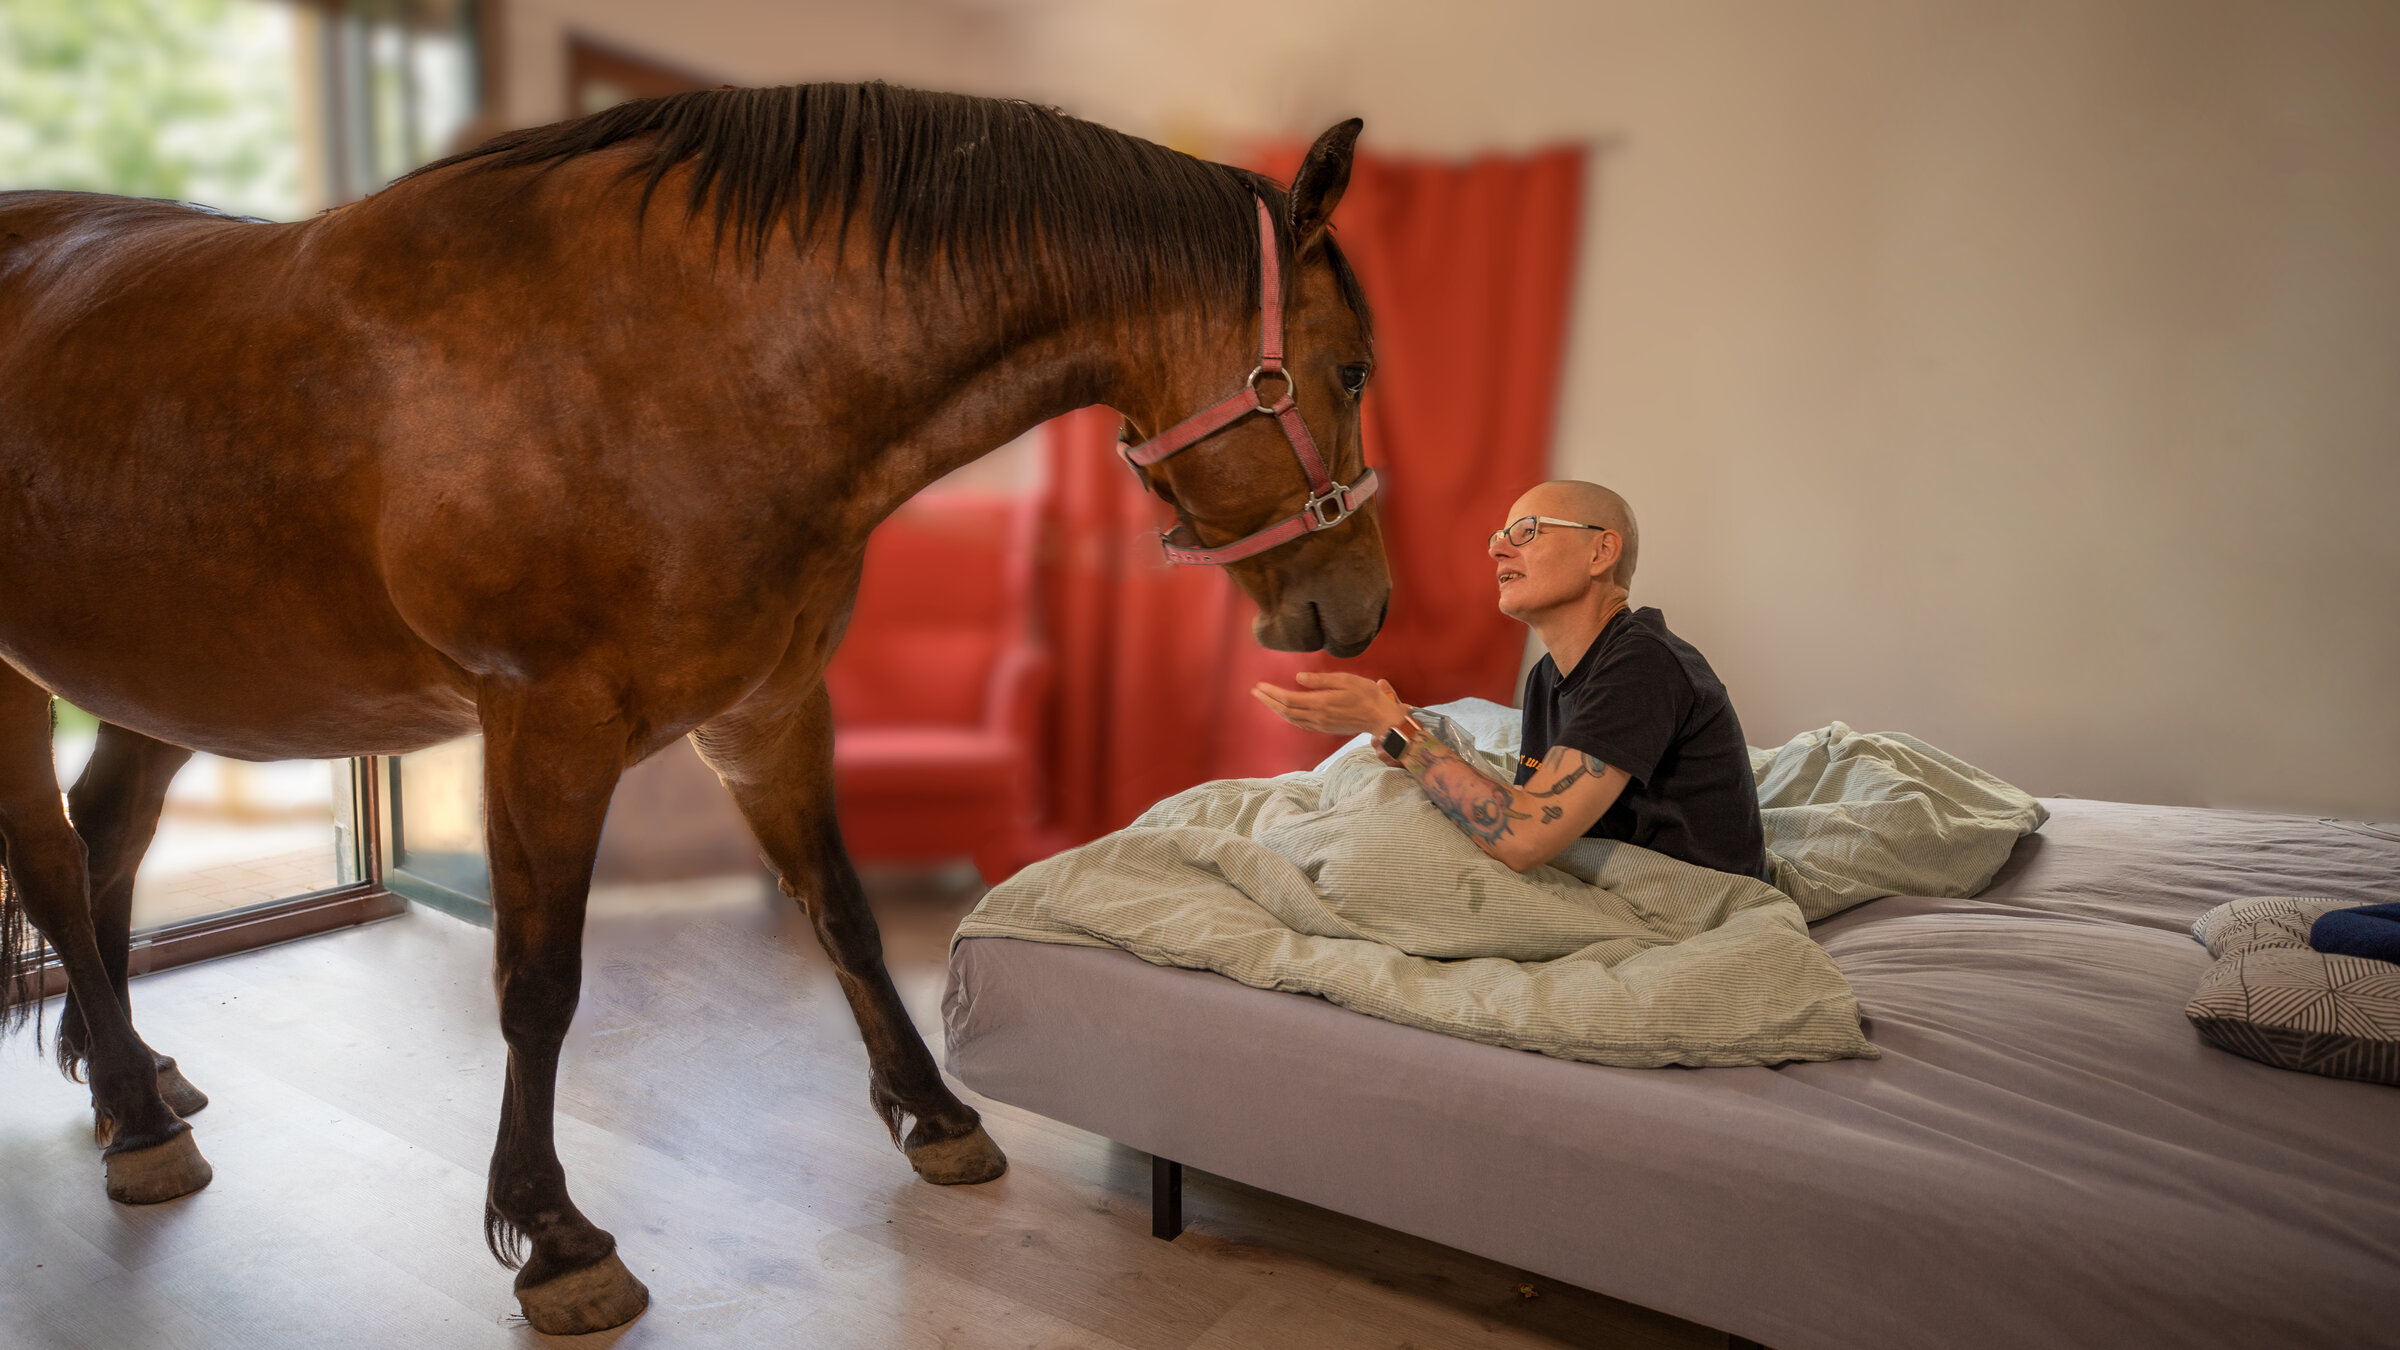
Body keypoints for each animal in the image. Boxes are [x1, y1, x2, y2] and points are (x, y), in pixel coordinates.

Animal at [0, 81, 1386, 1333]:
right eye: (1353, 369)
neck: (680, 358)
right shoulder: (547, 733)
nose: (1363, 605)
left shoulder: (768, 712)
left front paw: (935, 1115)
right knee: (57, 866)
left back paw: (129, 1078)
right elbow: (538, 982)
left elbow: (845, 915)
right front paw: (554, 1236)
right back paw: (135, 1120)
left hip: (164, 670)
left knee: (108, 836)